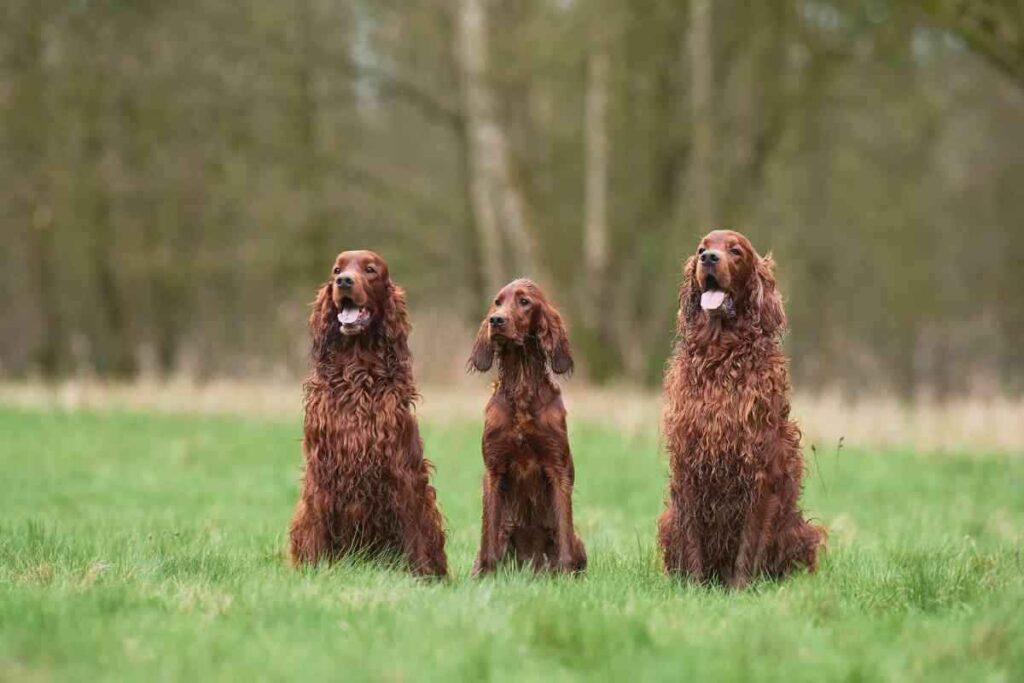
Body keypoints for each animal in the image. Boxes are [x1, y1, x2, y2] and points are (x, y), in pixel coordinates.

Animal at [288, 250, 448, 577]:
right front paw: (314, 571)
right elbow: (316, 526)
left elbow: (414, 529)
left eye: (370, 270)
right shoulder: (322, 468)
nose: (344, 282)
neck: (356, 373)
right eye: (337, 270)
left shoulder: (401, 470)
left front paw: (421, 576)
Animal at [659, 229, 827, 589]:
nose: (709, 258)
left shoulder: (760, 470)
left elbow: (750, 543)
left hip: (800, 530)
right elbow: (691, 538)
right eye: (702, 248)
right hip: (666, 520)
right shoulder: (689, 463)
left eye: (735, 251)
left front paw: (741, 590)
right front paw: (693, 589)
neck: (721, 357)